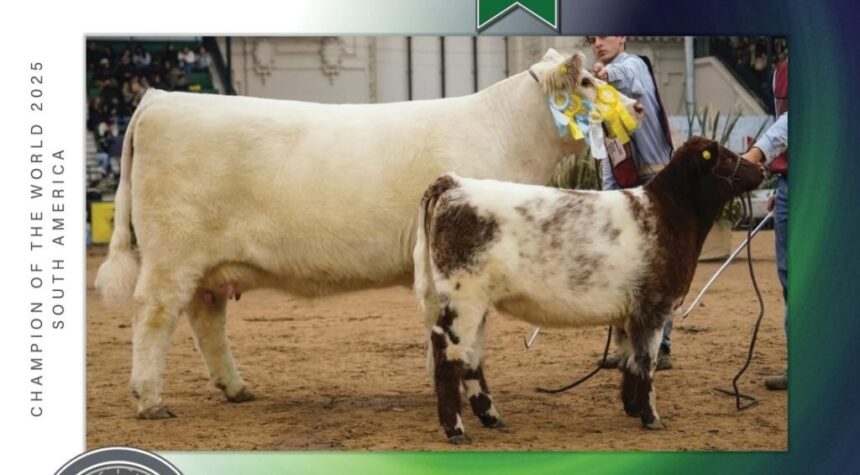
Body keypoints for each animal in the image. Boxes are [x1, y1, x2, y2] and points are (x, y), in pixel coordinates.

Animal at [94, 48, 642, 419]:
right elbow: (467, 332)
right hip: (172, 253)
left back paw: (236, 388)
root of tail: (159, 98)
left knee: (206, 317)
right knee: (155, 314)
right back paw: (150, 400)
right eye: (589, 82)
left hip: (207, 263)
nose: (637, 107)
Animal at [413, 137, 764, 443]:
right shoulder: (654, 306)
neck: (670, 215)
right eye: (727, 157)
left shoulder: (628, 312)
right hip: (463, 296)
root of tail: (455, 183)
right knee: (447, 354)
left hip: (476, 302)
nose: (761, 169)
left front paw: (632, 408)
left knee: (471, 357)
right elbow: (646, 362)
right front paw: (652, 417)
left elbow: (629, 360)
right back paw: (456, 430)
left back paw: (491, 418)